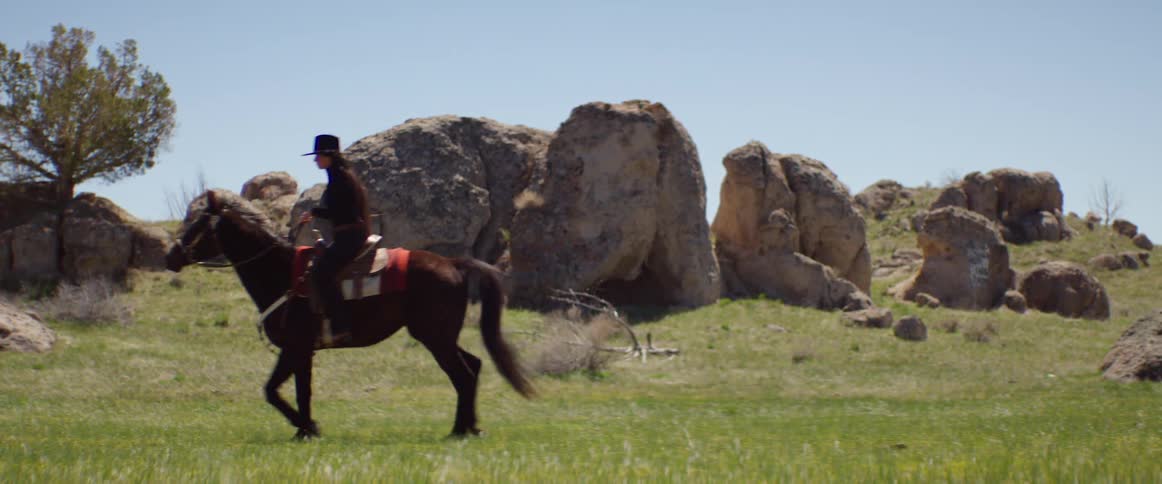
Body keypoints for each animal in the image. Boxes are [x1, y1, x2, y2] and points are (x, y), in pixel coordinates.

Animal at [164, 190, 533, 439]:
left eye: (198, 225)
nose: (171, 257)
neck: (283, 273)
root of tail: (454, 264)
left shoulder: (294, 347)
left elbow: (272, 390)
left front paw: (308, 426)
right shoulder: (303, 352)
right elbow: (300, 391)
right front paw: (305, 430)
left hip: (434, 337)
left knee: (463, 375)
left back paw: (459, 429)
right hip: (440, 336)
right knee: (474, 366)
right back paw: (471, 426)